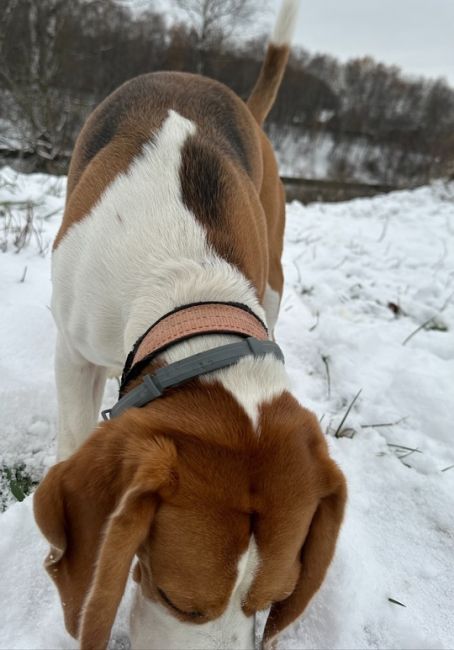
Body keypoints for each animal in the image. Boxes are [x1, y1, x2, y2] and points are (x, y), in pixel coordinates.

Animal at [33, 1, 346, 648]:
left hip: (274, 274)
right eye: (179, 600)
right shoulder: (73, 351)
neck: (190, 288)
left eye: (273, 600)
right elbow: (74, 432)